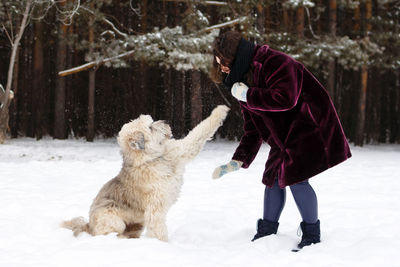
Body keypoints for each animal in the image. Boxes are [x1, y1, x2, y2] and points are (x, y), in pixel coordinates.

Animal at [60, 105, 227, 243]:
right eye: (150, 127)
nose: (166, 121)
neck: (153, 158)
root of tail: (88, 226)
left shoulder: (181, 150)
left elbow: (199, 132)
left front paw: (221, 110)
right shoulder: (155, 208)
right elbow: (158, 230)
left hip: (138, 223)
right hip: (112, 219)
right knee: (109, 233)